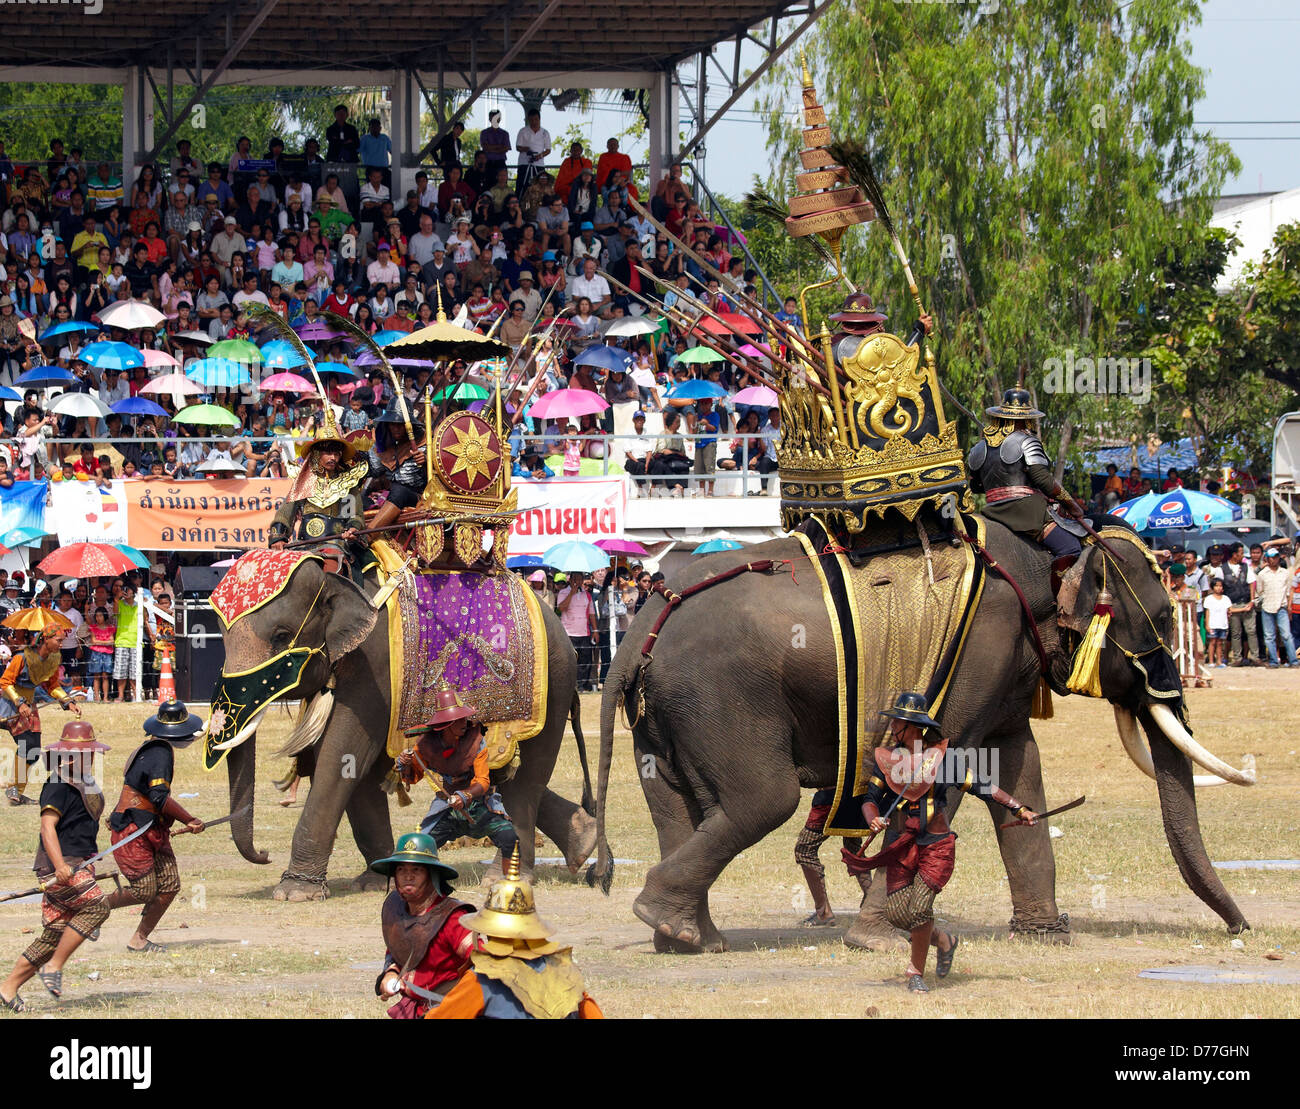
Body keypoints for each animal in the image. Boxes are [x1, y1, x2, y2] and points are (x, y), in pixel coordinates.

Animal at [210, 553, 600, 899]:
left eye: (280, 635)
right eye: (221, 639)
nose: (263, 854)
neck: (334, 574)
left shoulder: (374, 666)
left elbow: (341, 754)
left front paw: (294, 892)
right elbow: (356, 767)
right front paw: (377, 879)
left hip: (552, 684)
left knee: (527, 777)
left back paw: (503, 879)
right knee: (501, 772)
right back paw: (583, 840)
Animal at [595, 512, 1253, 951]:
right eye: (1164, 617)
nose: (1240, 929)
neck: (1042, 554)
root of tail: (648, 615)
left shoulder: (1005, 667)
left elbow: (1019, 768)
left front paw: (1046, 936)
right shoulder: (981, 648)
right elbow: (940, 771)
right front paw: (883, 939)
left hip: (661, 716)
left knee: (676, 807)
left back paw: (685, 937)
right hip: (719, 696)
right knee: (763, 800)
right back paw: (668, 921)